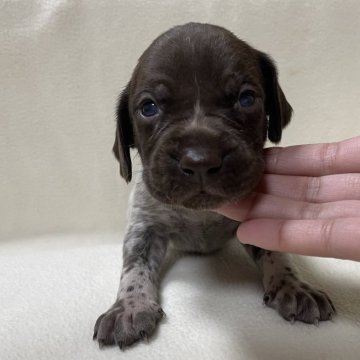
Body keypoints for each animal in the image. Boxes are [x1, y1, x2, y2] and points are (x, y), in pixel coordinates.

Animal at [93, 22, 334, 348]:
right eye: (149, 108)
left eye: (246, 99)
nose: (200, 161)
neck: (201, 213)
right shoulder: (144, 228)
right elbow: (134, 265)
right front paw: (130, 306)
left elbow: (276, 252)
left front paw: (294, 286)